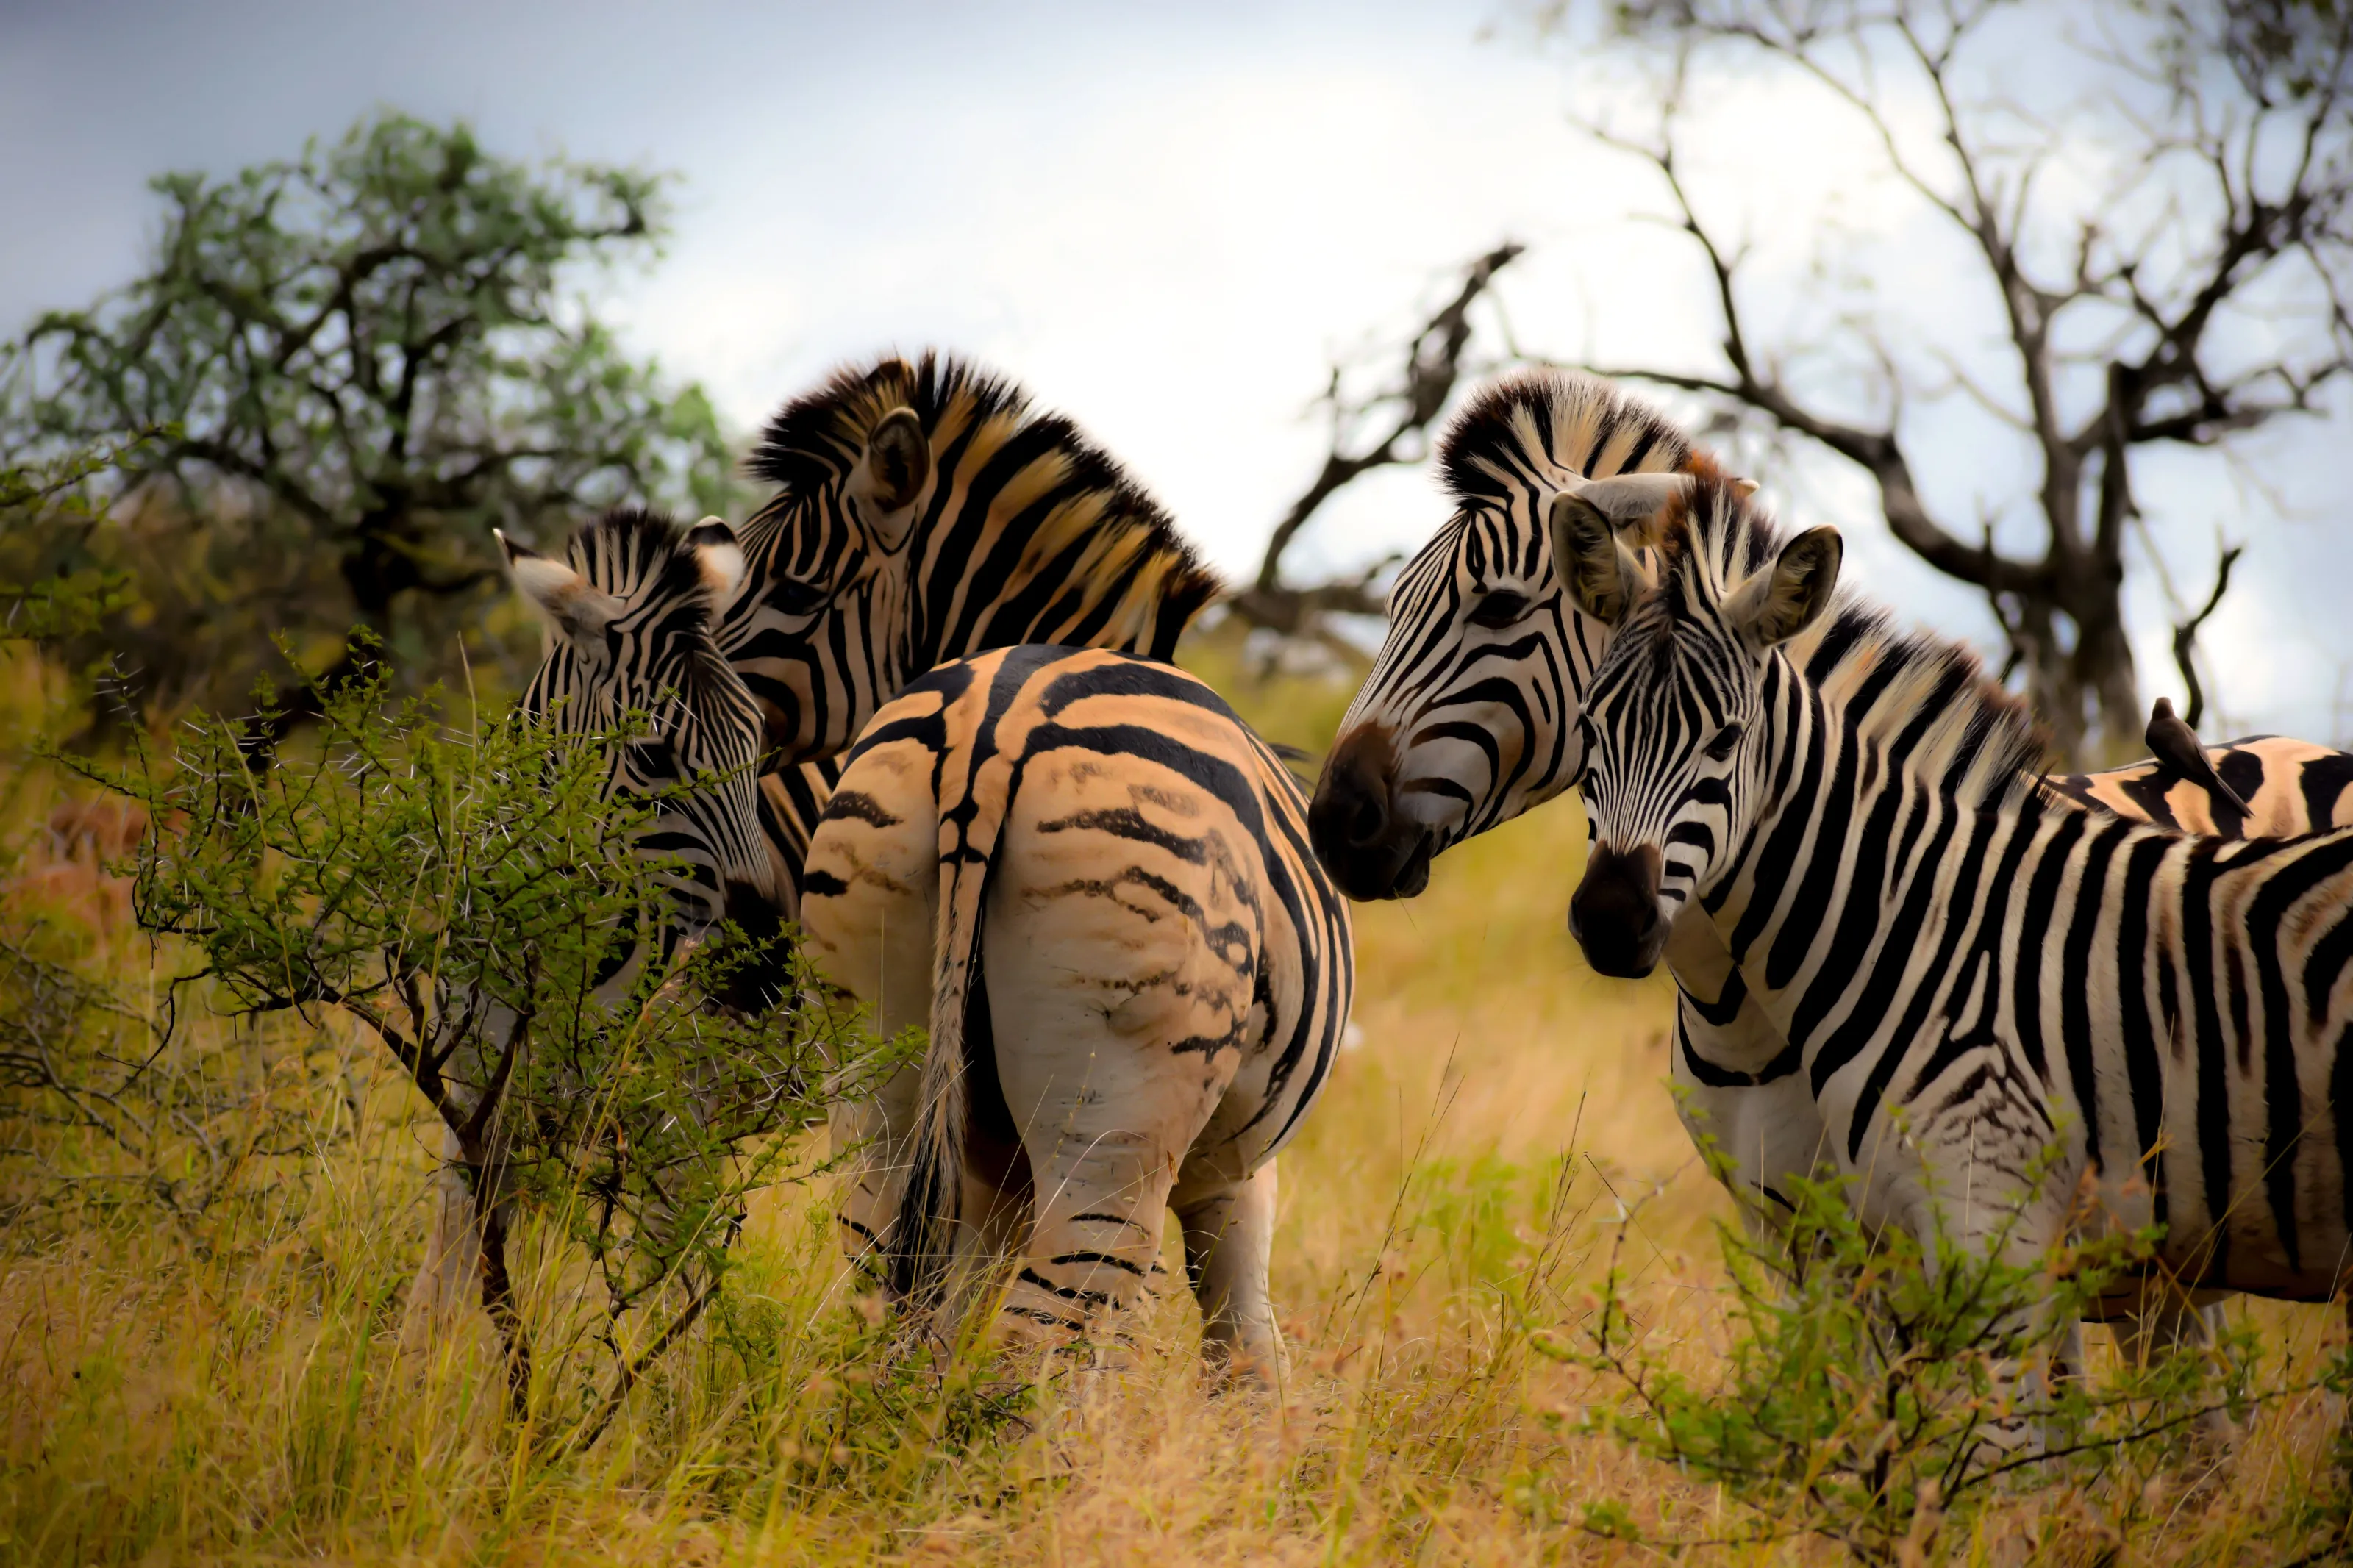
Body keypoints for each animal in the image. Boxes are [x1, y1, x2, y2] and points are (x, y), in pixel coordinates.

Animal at [406, 507, 785, 1340]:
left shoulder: (679, 1130)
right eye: (651, 754)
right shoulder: (472, 1101)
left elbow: (668, 1323)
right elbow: (442, 1290)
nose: (765, 973)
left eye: (758, 744)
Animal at [797, 645, 1352, 1375]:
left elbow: (957, 1310)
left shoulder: (988, 1178)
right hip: (1116, 1109)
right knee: (1048, 1333)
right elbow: (1243, 1342)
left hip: (873, 1063)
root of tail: (994, 723)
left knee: (882, 1280)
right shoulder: (1235, 1174)